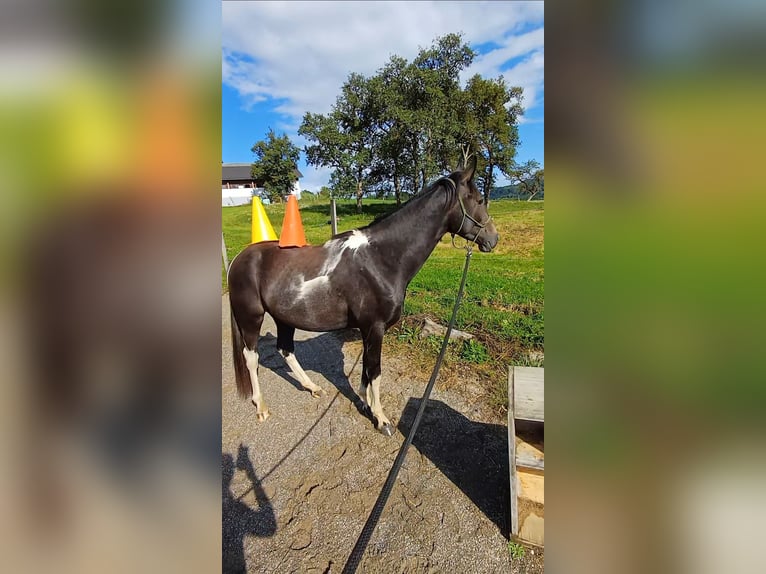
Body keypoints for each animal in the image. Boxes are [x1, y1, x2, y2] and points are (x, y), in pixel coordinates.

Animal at [227, 158, 499, 436]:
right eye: (479, 200)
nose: (493, 238)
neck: (380, 259)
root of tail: (239, 258)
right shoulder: (375, 327)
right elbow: (375, 370)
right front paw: (381, 419)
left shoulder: (369, 330)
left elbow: (367, 369)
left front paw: (365, 403)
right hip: (251, 318)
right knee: (252, 357)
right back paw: (261, 407)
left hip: (284, 318)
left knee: (285, 349)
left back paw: (313, 387)